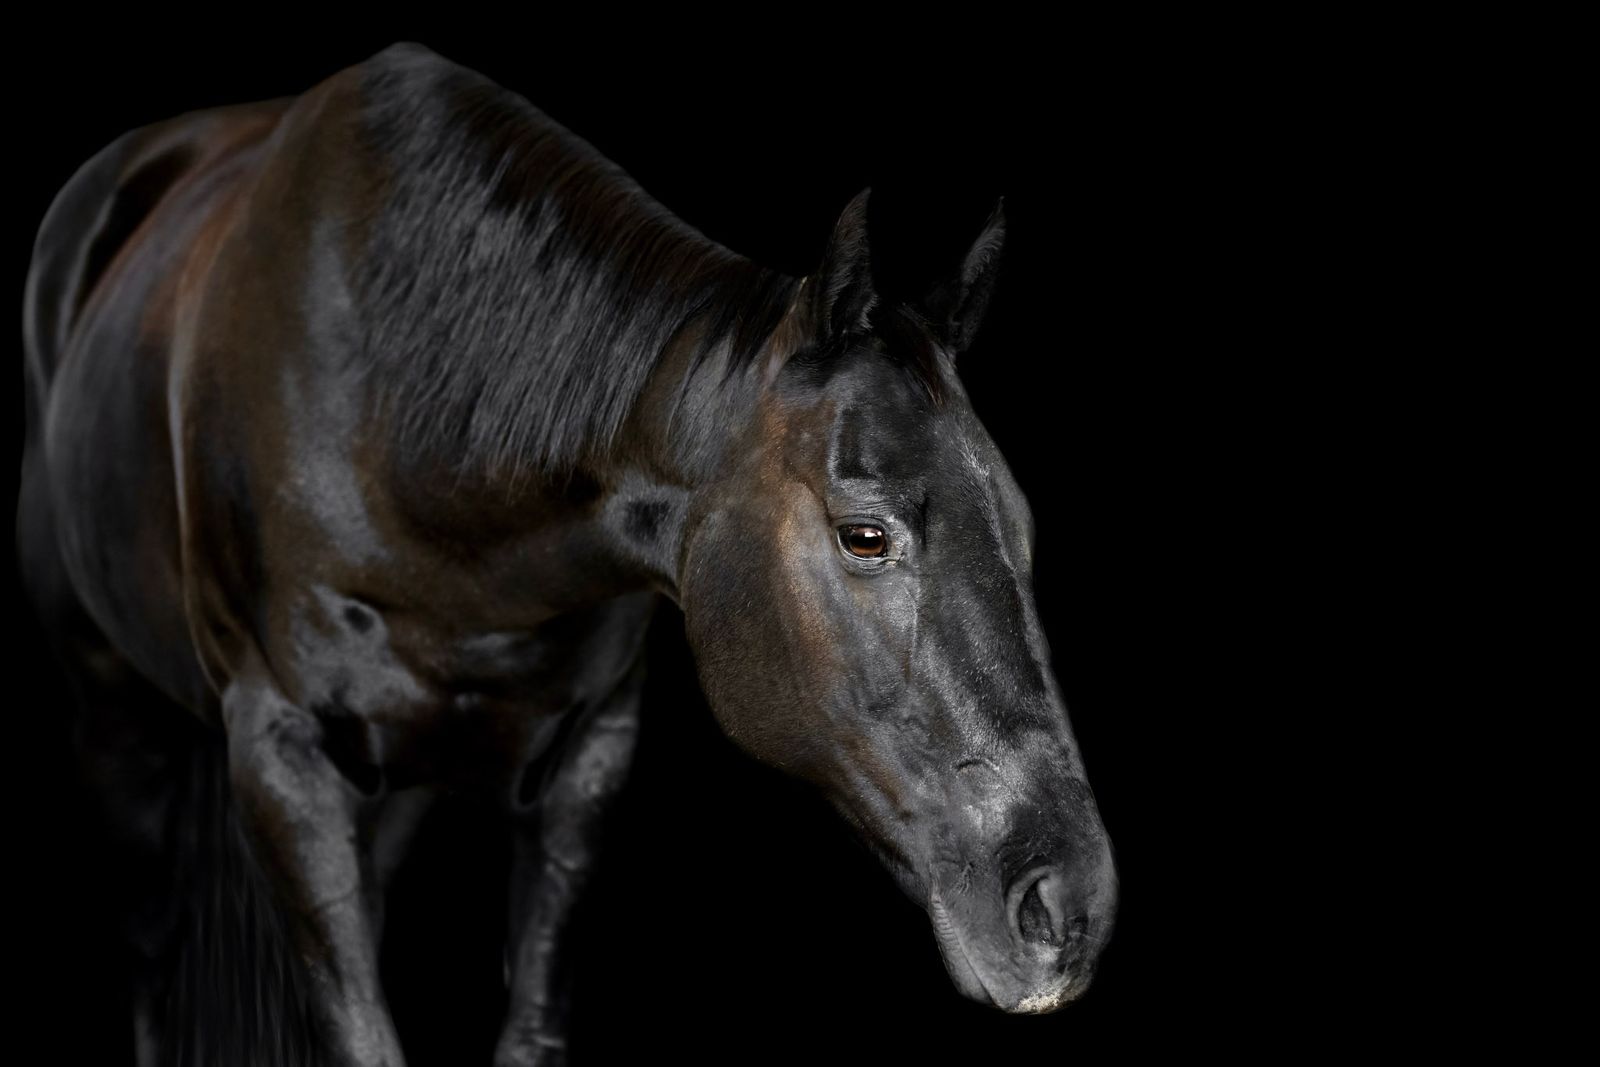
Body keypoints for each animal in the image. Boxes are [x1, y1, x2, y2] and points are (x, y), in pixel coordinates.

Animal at [17, 40, 1118, 1067]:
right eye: (865, 533)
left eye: (1023, 528)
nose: (1068, 909)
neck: (409, 417)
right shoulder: (280, 755)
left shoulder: (587, 759)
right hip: (116, 722)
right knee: (153, 949)